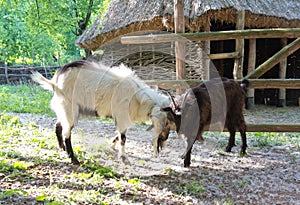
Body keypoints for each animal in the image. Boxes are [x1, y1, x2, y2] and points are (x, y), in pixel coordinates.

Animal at [31, 59, 173, 163]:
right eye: (166, 122)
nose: (164, 138)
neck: (138, 98)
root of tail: (55, 83)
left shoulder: (123, 119)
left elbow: (119, 135)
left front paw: (112, 145)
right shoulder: (122, 117)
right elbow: (123, 138)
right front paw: (123, 158)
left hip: (63, 109)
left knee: (58, 125)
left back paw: (62, 148)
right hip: (70, 109)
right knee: (67, 132)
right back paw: (73, 159)